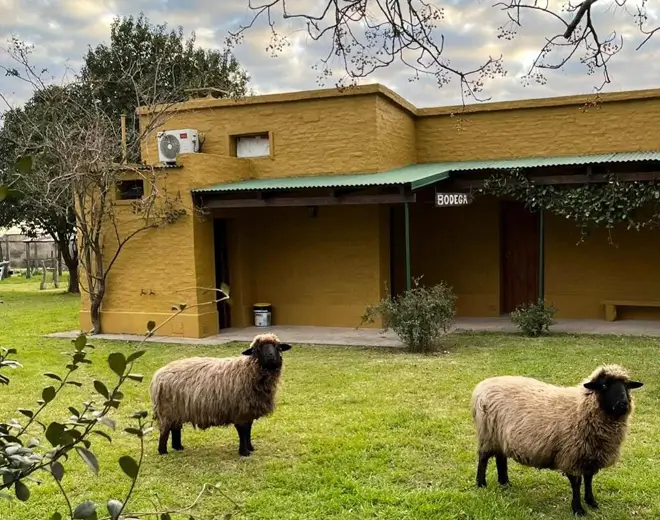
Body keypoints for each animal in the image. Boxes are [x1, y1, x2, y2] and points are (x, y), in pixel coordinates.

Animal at [150, 332, 294, 458]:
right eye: (257, 349)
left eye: (277, 346)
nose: (270, 356)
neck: (248, 370)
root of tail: (158, 375)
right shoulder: (239, 412)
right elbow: (243, 432)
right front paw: (244, 452)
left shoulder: (248, 410)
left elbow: (248, 430)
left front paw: (251, 448)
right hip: (167, 410)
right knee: (165, 431)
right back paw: (163, 451)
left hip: (177, 410)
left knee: (175, 429)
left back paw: (178, 447)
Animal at [470, 366, 644, 516]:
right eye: (605, 385)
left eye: (627, 386)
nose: (623, 404)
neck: (581, 407)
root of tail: (482, 385)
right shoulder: (572, 455)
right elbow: (576, 483)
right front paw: (578, 509)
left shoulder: (590, 455)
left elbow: (589, 479)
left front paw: (591, 502)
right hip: (488, 434)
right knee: (483, 458)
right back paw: (481, 484)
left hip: (501, 437)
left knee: (501, 458)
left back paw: (504, 483)